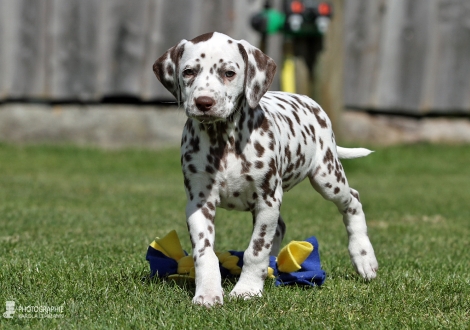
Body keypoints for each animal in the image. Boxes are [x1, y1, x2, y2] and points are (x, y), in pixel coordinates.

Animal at [154, 32, 378, 306]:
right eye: (188, 72)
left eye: (229, 73)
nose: (203, 102)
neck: (223, 140)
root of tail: (310, 102)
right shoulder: (199, 203)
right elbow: (205, 252)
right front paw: (207, 293)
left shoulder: (267, 199)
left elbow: (256, 249)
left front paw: (247, 289)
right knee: (279, 227)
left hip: (326, 176)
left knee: (352, 200)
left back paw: (364, 257)